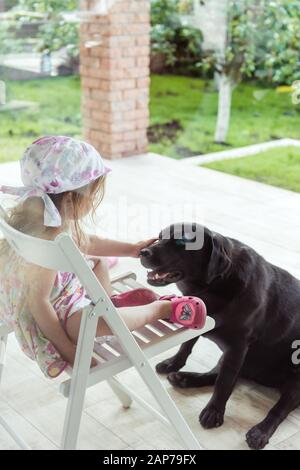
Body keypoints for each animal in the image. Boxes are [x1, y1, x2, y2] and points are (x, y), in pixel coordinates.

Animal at [139, 222, 300, 450]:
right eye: (159, 237)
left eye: (182, 241)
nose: (142, 251)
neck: (214, 284)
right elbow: (186, 346)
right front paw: (173, 363)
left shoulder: (238, 347)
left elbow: (225, 383)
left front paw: (214, 412)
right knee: (215, 375)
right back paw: (184, 378)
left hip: (295, 379)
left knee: (279, 409)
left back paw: (259, 432)